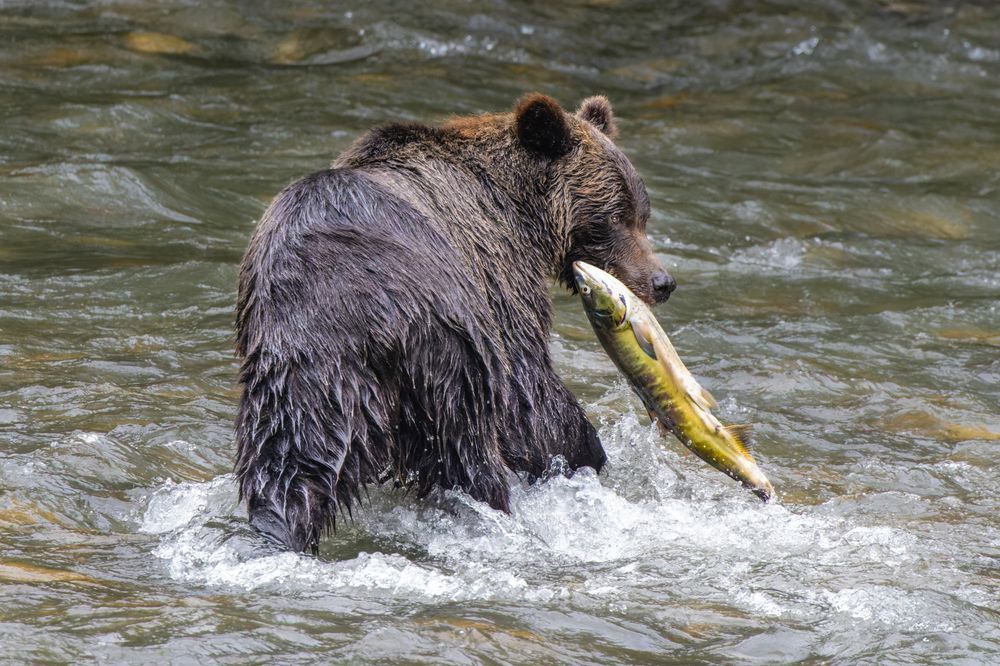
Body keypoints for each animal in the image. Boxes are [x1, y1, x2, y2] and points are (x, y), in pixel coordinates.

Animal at [234, 93, 676, 553]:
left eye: (642, 214)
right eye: (615, 216)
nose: (662, 281)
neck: (521, 212)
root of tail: (360, 307)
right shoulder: (498, 274)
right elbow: (529, 389)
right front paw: (583, 452)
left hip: (297, 370)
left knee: (290, 460)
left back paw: (277, 527)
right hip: (446, 351)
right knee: (470, 448)